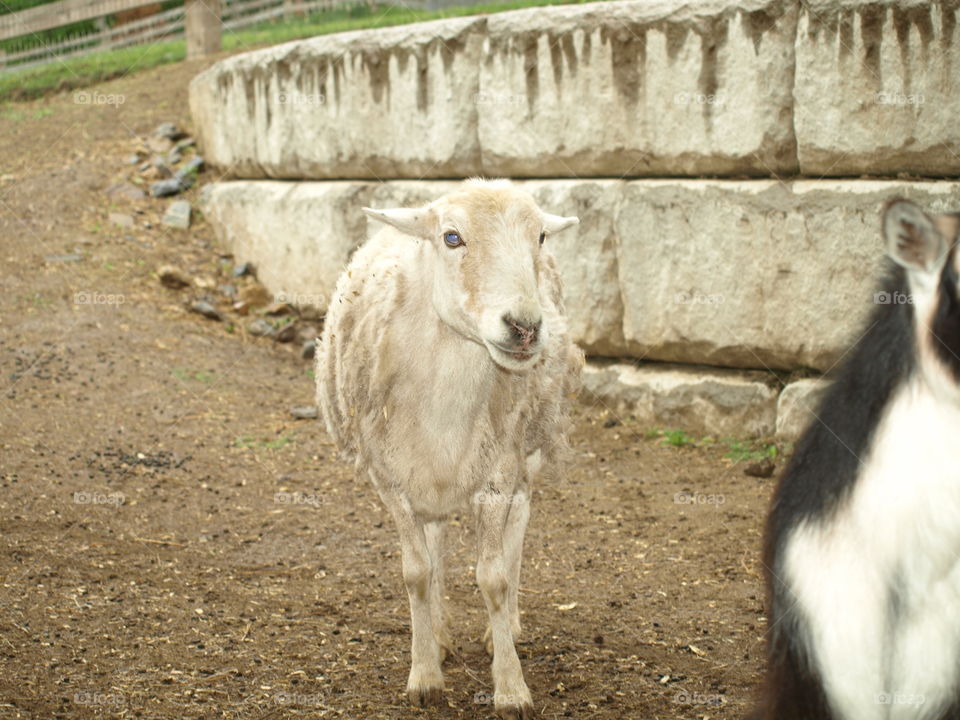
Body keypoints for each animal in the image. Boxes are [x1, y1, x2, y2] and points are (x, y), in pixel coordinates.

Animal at [317, 179, 582, 719]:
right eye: (451, 237)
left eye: (541, 236)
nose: (524, 327)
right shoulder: (389, 477)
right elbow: (417, 571)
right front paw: (424, 674)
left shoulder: (498, 471)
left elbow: (493, 576)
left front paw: (510, 686)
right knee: (435, 538)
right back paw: (437, 633)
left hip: (530, 444)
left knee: (520, 523)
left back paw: (505, 627)